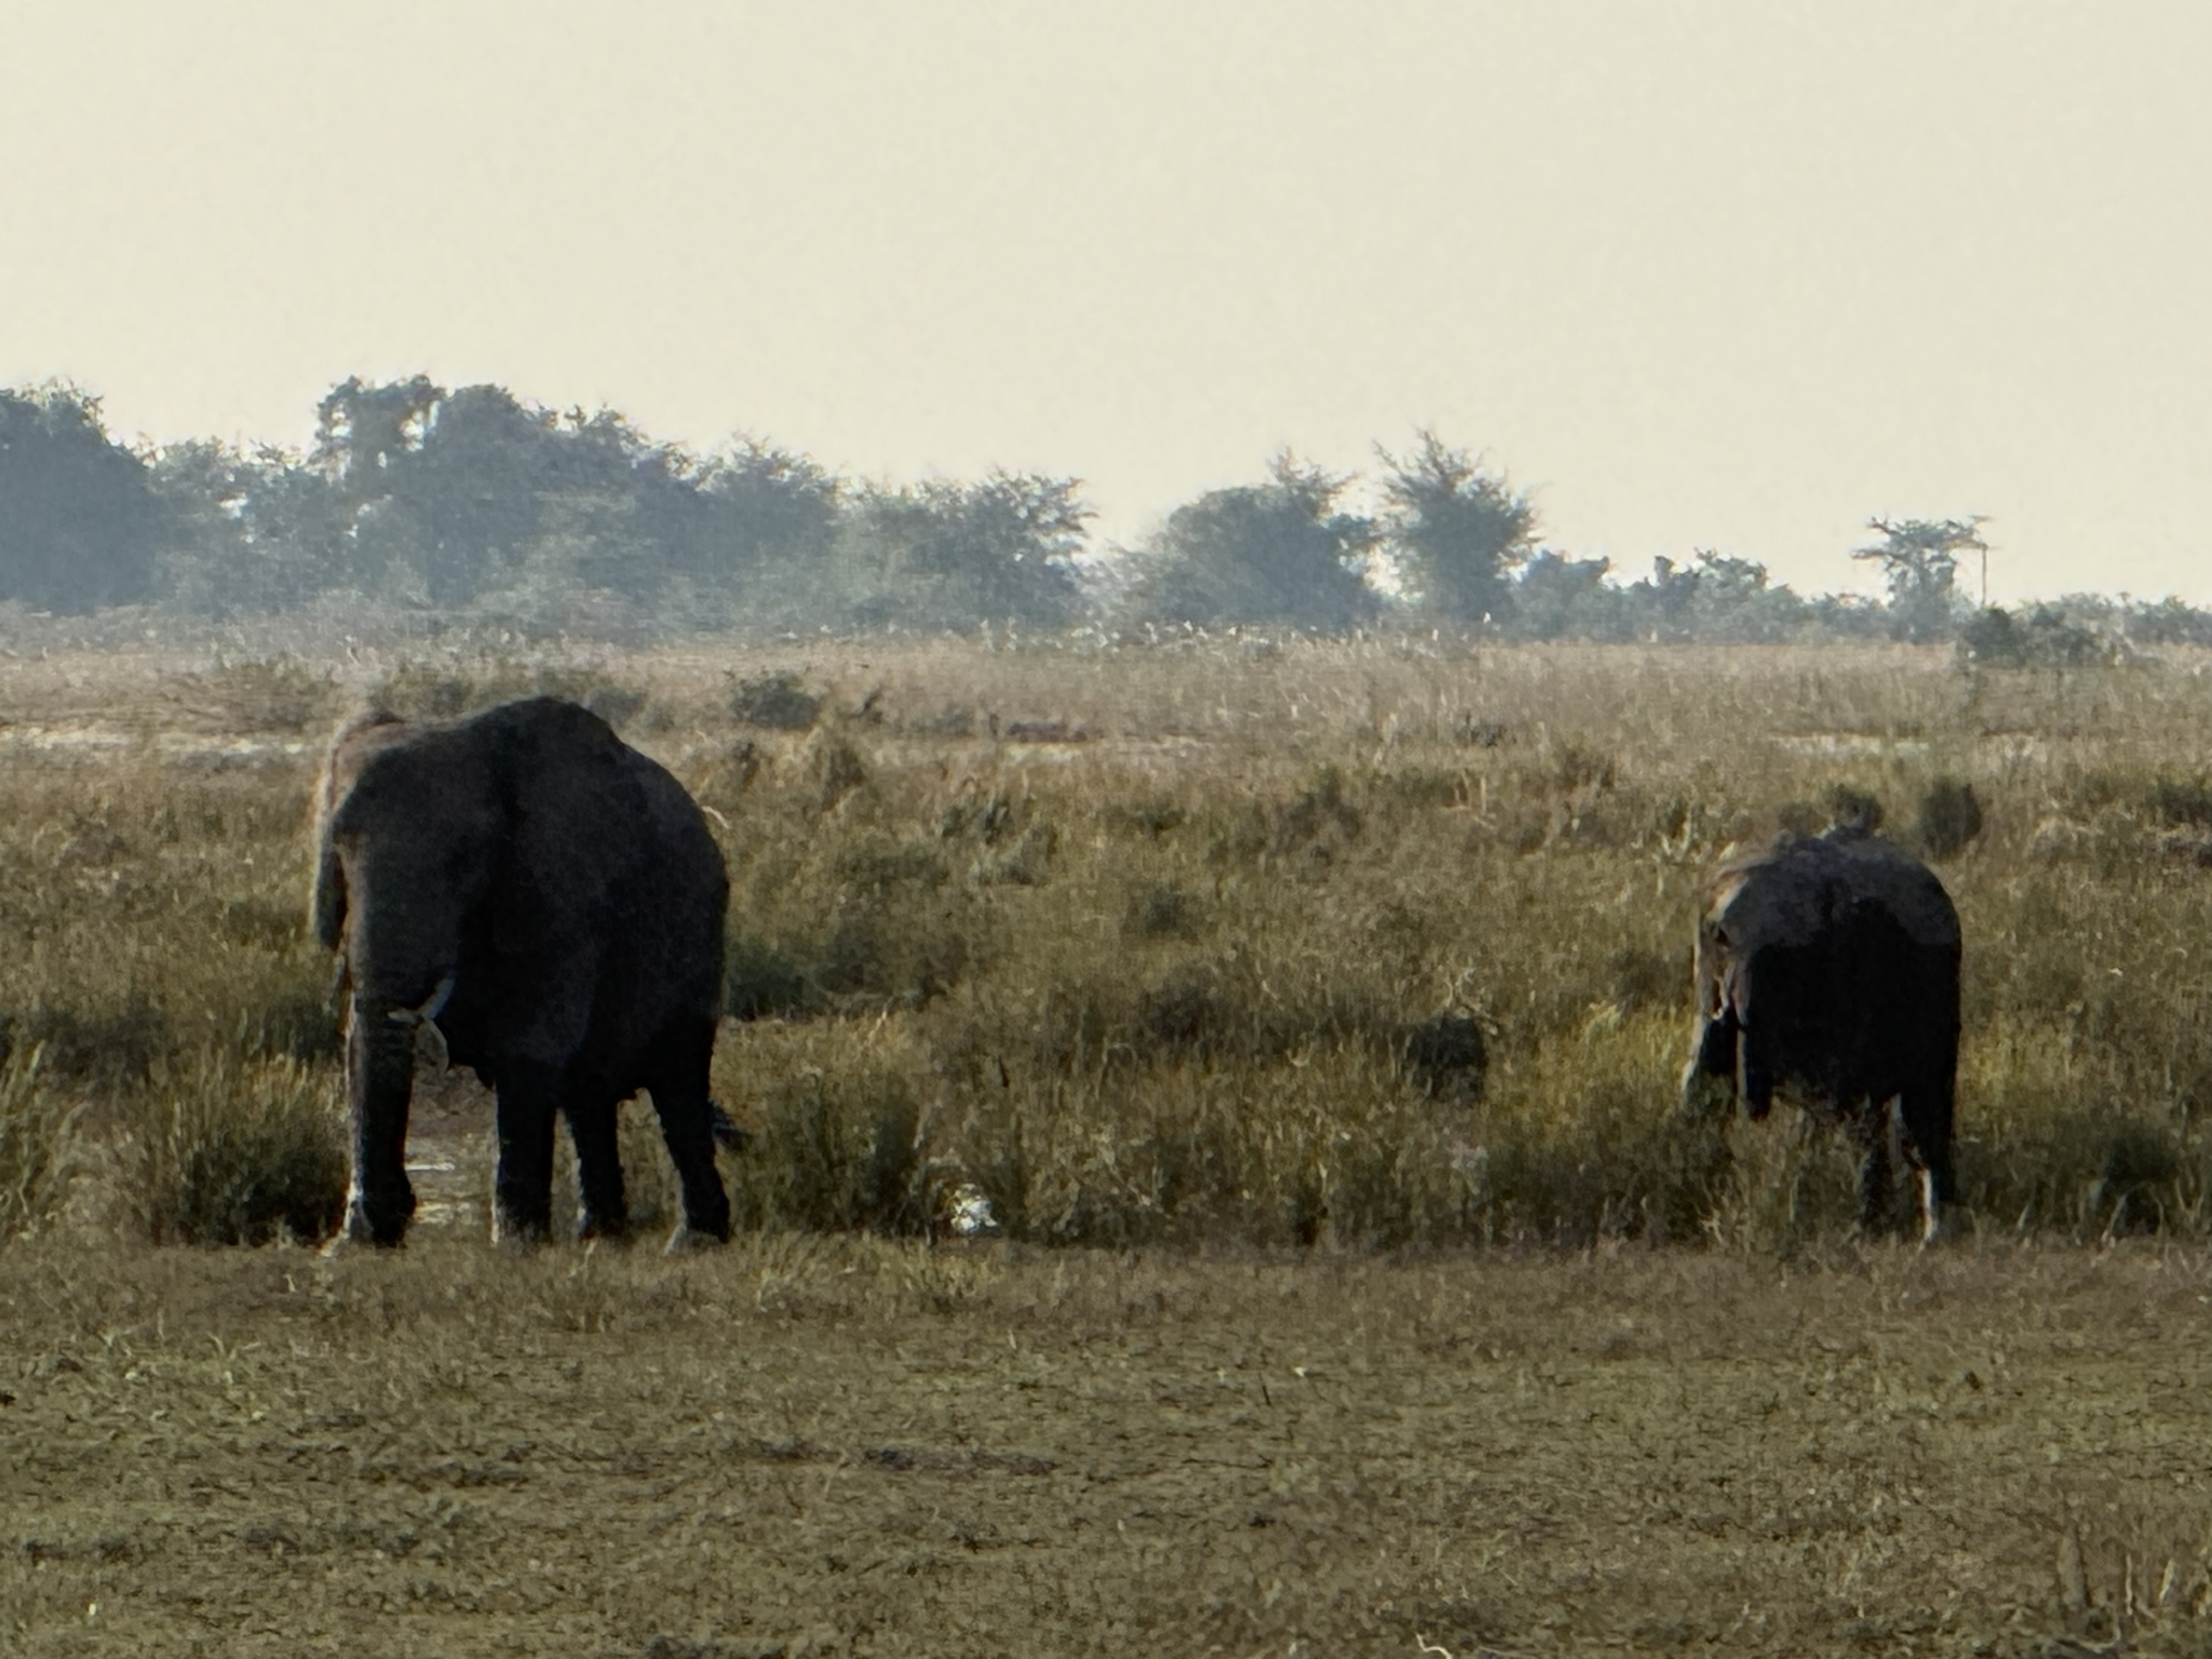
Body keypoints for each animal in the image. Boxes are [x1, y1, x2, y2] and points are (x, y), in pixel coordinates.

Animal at [312, 695, 733, 1249]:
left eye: (466, 858)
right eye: (337, 848)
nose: (405, 1210)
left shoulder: (564, 898)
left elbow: (530, 1046)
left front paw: (516, 1245)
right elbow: (360, 1040)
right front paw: (358, 1241)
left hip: (698, 937)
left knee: (678, 1088)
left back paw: (693, 1242)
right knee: (588, 1097)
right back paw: (599, 1238)